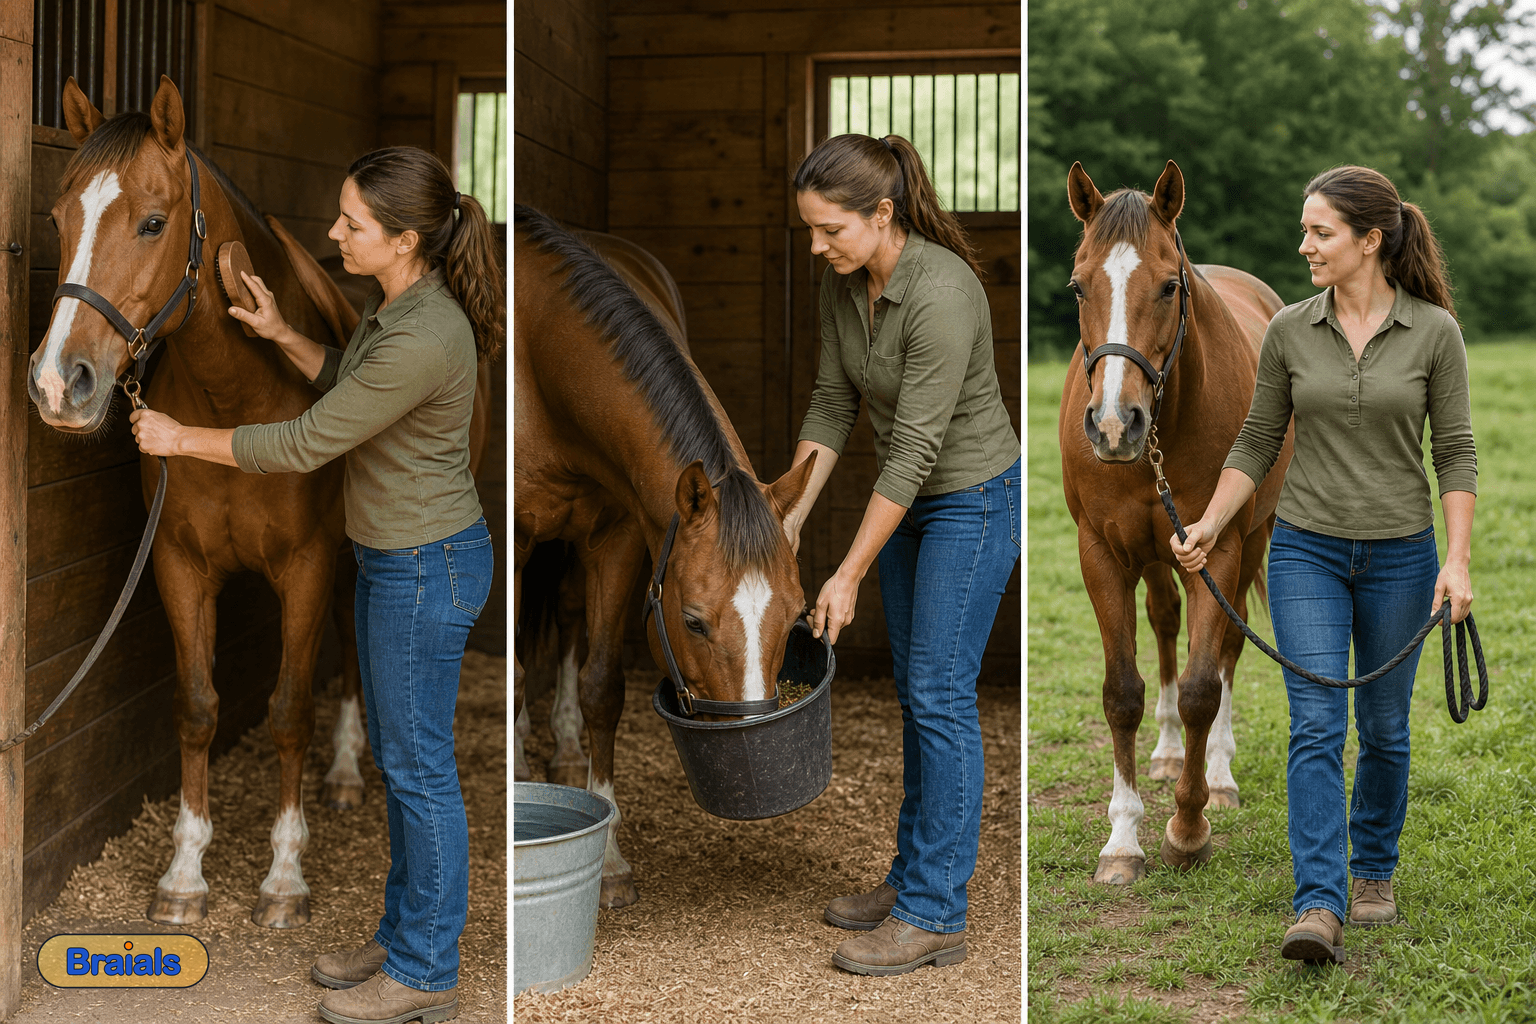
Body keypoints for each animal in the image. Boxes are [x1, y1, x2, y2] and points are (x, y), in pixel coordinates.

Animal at [30, 75, 393, 928]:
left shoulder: (306, 566)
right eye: (58, 219)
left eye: (153, 222)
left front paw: (285, 877)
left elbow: (290, 711)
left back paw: (346, 773)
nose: (59, 383)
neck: (240, 398)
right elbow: (196, 707)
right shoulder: (179, 564)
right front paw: (185, 873)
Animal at [513, 205, 814, 907]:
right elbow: (513, 675)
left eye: (795, 617)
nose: (752, 728)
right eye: (695, 622)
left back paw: (562, 747)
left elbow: (602, 688)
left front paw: (609, 862)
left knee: (567, 619)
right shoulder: (511, 534)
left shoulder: (621, 537)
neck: (542, 362)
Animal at [1059, 160, 1293, 885]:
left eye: (1168, 285)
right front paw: (1122, 839)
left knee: (1226, 652)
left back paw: (1216, 773)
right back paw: (1164, 754)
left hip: (1247, 544)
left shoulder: (1214, 552)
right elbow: (1122, 693)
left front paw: (1188, 828)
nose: (1114, 425)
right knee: (1163, 625)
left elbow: (1201, 688)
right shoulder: (1100, 554)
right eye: (1079, 285)